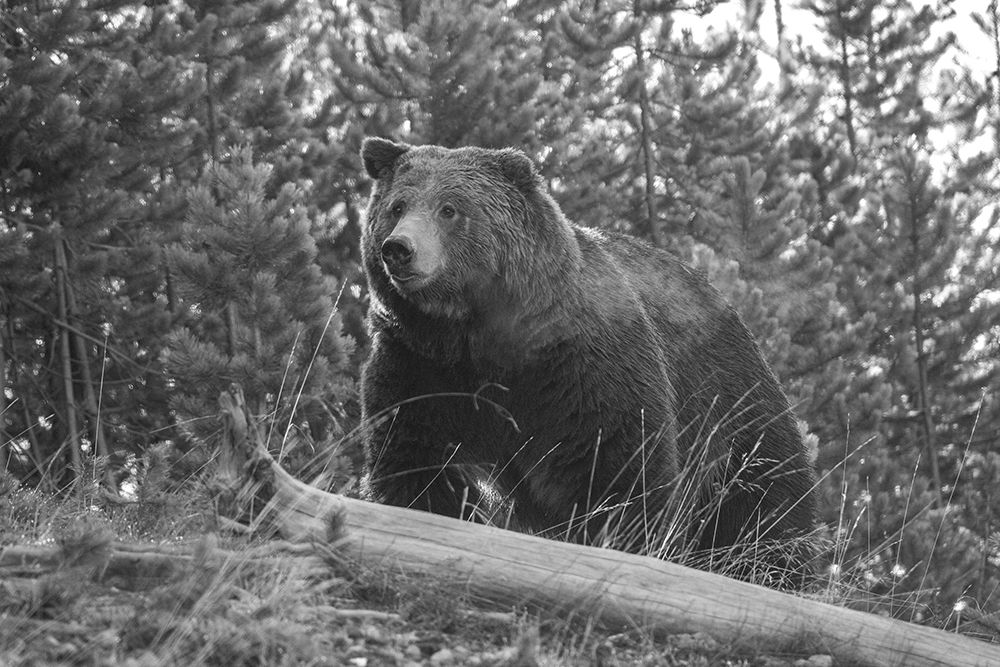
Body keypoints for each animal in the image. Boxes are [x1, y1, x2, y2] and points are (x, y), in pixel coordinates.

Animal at [358, 138, 812, 588]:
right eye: (397, 206)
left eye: (449, 208)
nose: (399, 248)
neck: (473, 334)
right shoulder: (421, 364)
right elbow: (415, 457)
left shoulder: (578, 362)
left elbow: (615, 461)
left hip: (730, 399)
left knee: (765, 500)